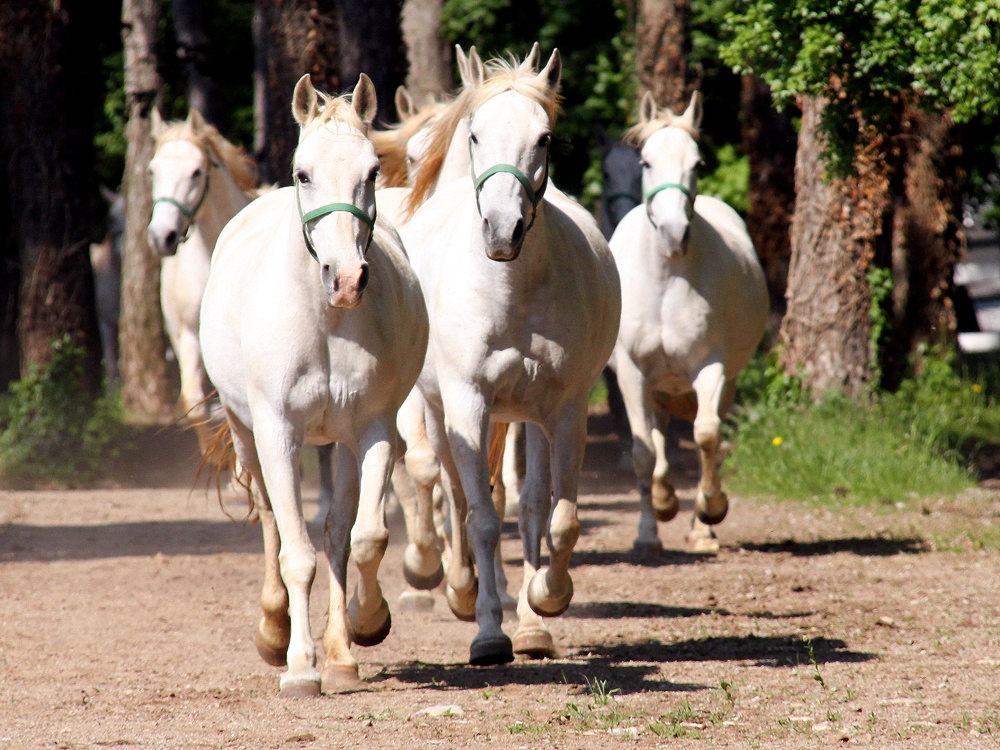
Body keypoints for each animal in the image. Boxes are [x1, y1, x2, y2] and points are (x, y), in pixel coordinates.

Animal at [198, 76, 426, 700]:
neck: (325, 321)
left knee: (338, 532)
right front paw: (300, 665)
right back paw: (275, 632)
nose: (345, 279)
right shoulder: (278, 432)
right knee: (271, 522)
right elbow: (296, 552)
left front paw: (365, 628)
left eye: (372, 171)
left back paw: (341, 652)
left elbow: (364, 538)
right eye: (304, 173)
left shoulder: (374, 431)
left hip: (341, 443)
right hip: (246, 432)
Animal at [396, 50, 616, 668]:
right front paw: (489, 634)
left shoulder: (564, 411)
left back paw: (531, 620)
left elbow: (556, 519)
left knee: (529, 504)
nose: (502, 230)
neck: (510, 291)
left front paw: (546, 600)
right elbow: (483, 519)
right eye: (475, 134)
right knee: (462, 499)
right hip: (447, 415)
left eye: (544, 138)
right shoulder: (467, 406)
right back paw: (465, 591)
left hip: (524, 420)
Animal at [608, 89, 764, 560]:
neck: (666, 280)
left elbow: (707, 437)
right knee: (656, 443)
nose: (674, 233)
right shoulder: (632, 374)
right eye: (646, 162)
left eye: (698, 164)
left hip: (722, 383)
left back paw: (701, 529)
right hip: (655, 389)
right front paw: (655, 517)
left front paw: (710, 510)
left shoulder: (710, 369)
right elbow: (643, 453)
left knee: (703, 441)